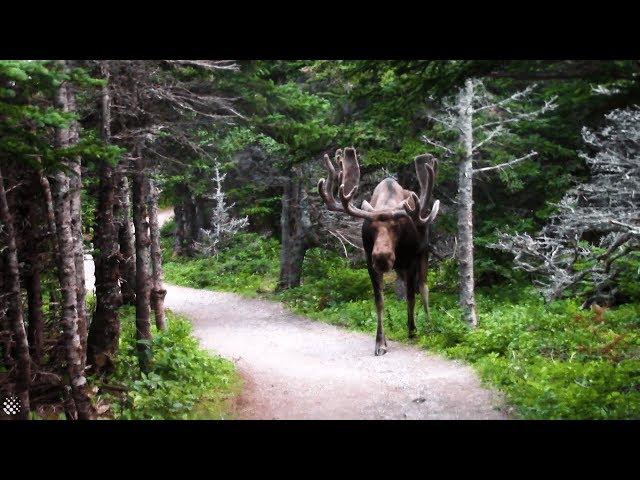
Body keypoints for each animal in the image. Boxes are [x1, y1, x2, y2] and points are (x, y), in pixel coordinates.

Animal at [318, 148, 440, 354]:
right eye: (370, 228)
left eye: (397, 227)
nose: (382, 258)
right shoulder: (370, 262)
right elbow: (379, 301)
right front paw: (380, 342)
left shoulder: (411, 260)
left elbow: (410, 297)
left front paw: (412, 331)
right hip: (399, 267)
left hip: (422, 253)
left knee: (423, 288)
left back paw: (429, 325)